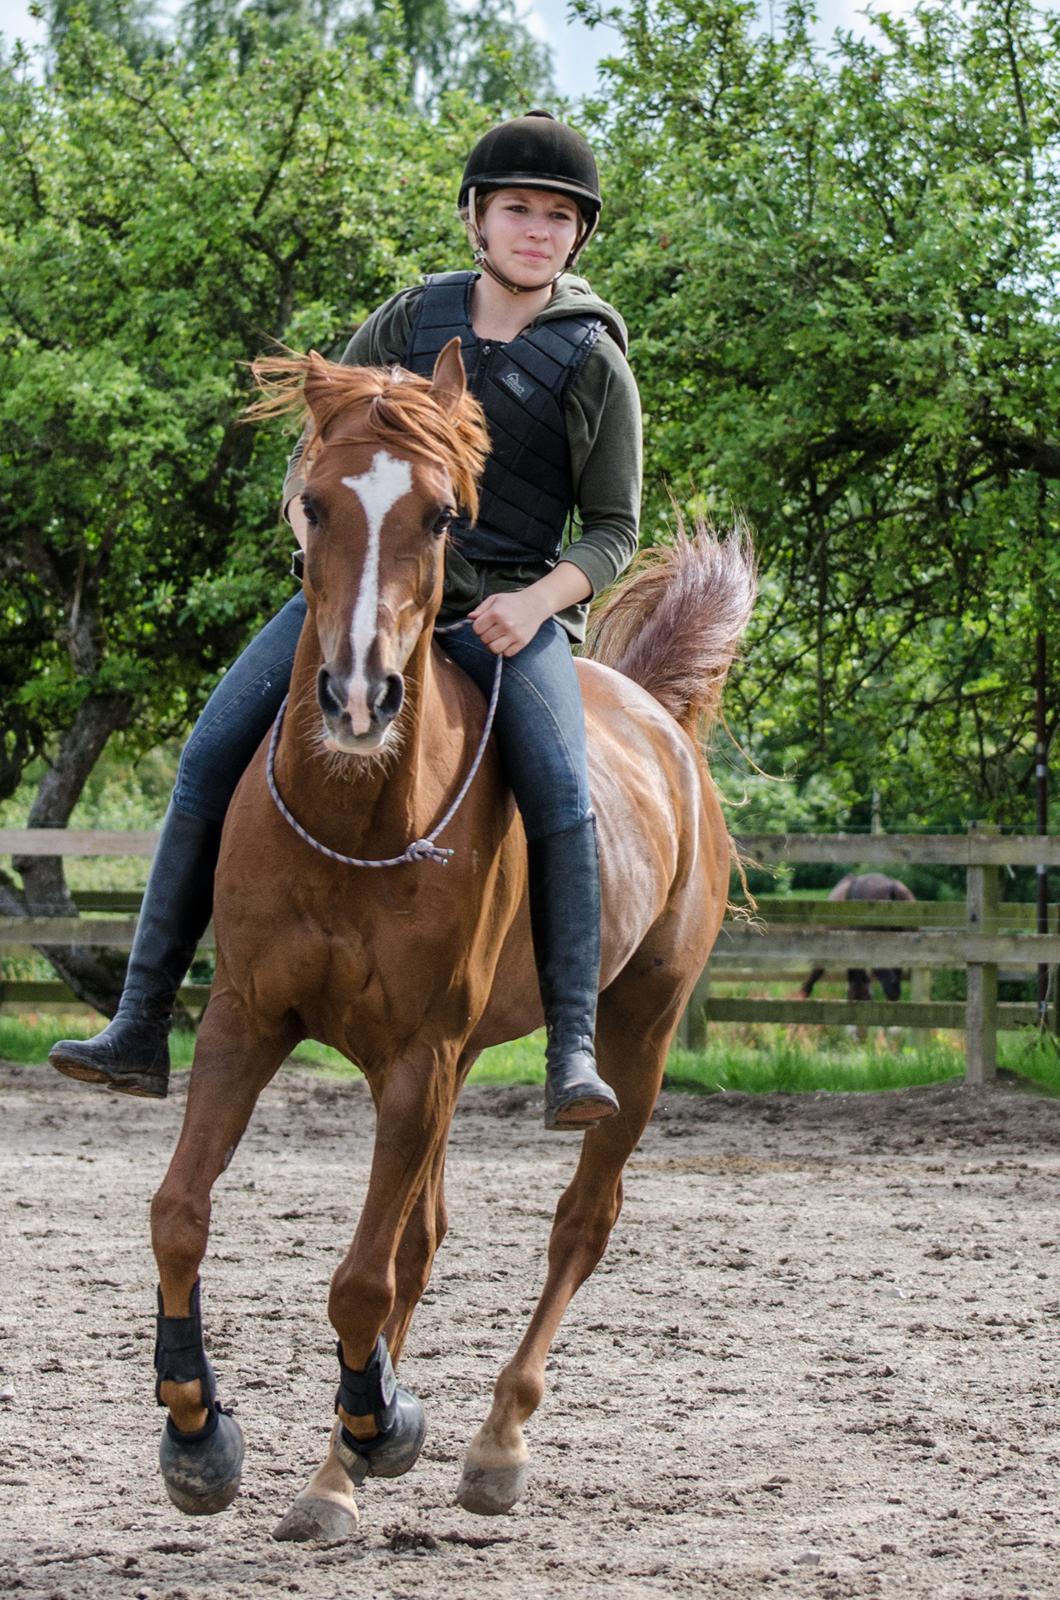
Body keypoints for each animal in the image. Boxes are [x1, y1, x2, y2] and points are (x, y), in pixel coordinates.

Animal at [147, 344, 755, 1542]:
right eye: (314, 502)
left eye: (438, 517)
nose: (358, 696)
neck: (354, 821)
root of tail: (661, 720)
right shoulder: (249, 1019)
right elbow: (182, 1215)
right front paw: (198, 1436)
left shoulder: (419, 1059)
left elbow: (360, 1280)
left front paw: (383, 1423)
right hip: (458, 1062)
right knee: (421, 1239)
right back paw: (334, 1474)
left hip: (637, 1035)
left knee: (579, 1222)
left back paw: (490, 1442)